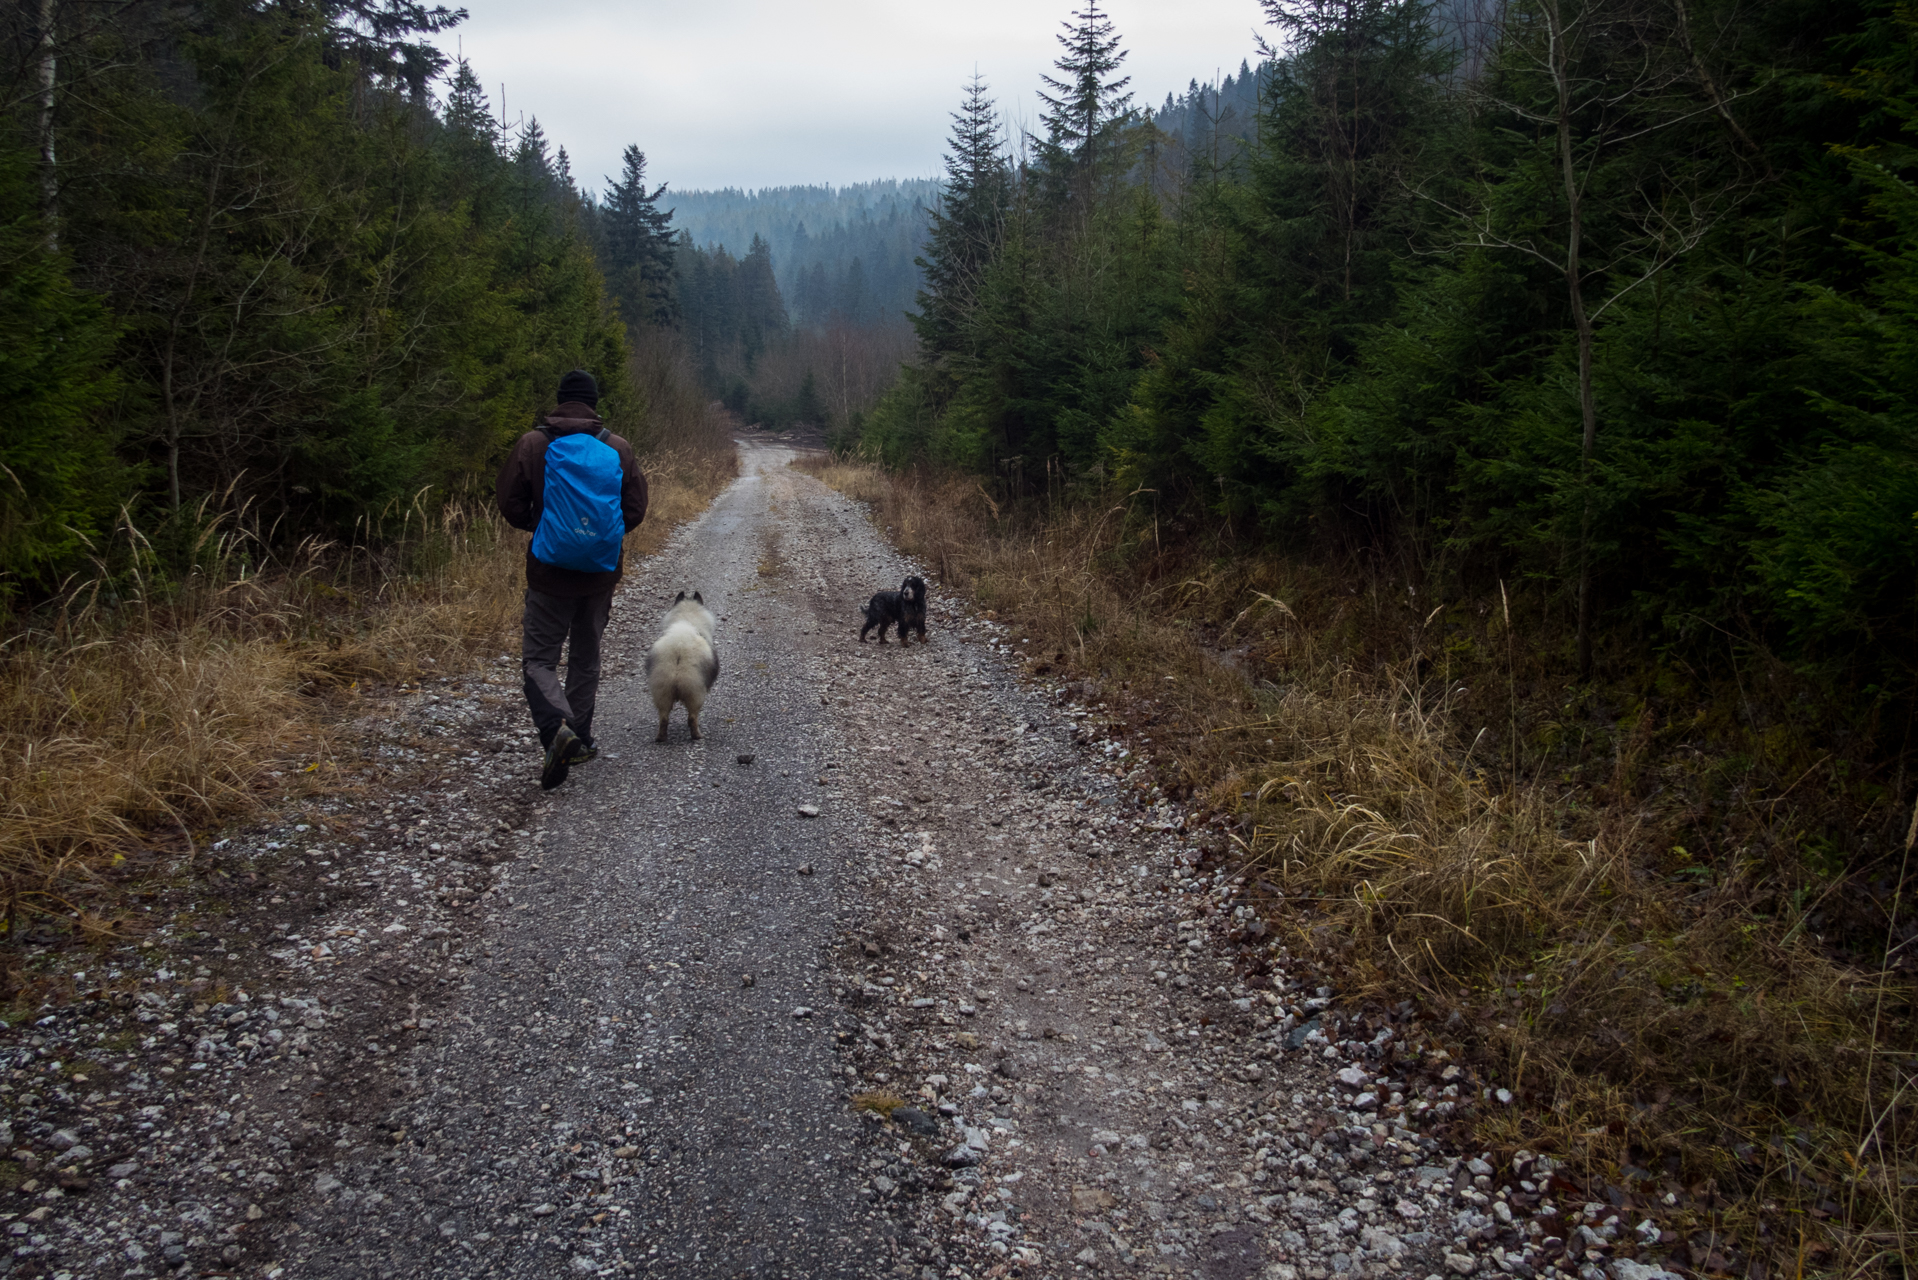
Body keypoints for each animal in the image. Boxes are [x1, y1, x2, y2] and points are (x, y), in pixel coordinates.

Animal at [644, 594, 721, 744]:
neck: (687, 618)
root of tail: (679, 648)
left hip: (662, 692)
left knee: (664, 718)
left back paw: (661, 738)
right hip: (695, 692)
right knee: (692, 717)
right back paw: (697, 735)